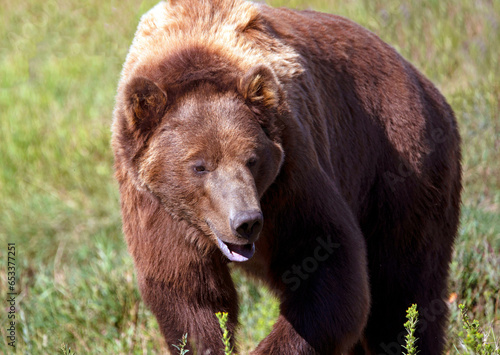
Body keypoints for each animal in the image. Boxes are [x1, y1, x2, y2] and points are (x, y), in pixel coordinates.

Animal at [112, 1, 460, 354]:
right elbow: (188, 294)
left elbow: (328, 262)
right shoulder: (157, 206)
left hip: (399, 167)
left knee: (403, 286)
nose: (246, 221)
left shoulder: (289, 170)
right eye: (199, 166)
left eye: (251, 159)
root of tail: (423, 83)